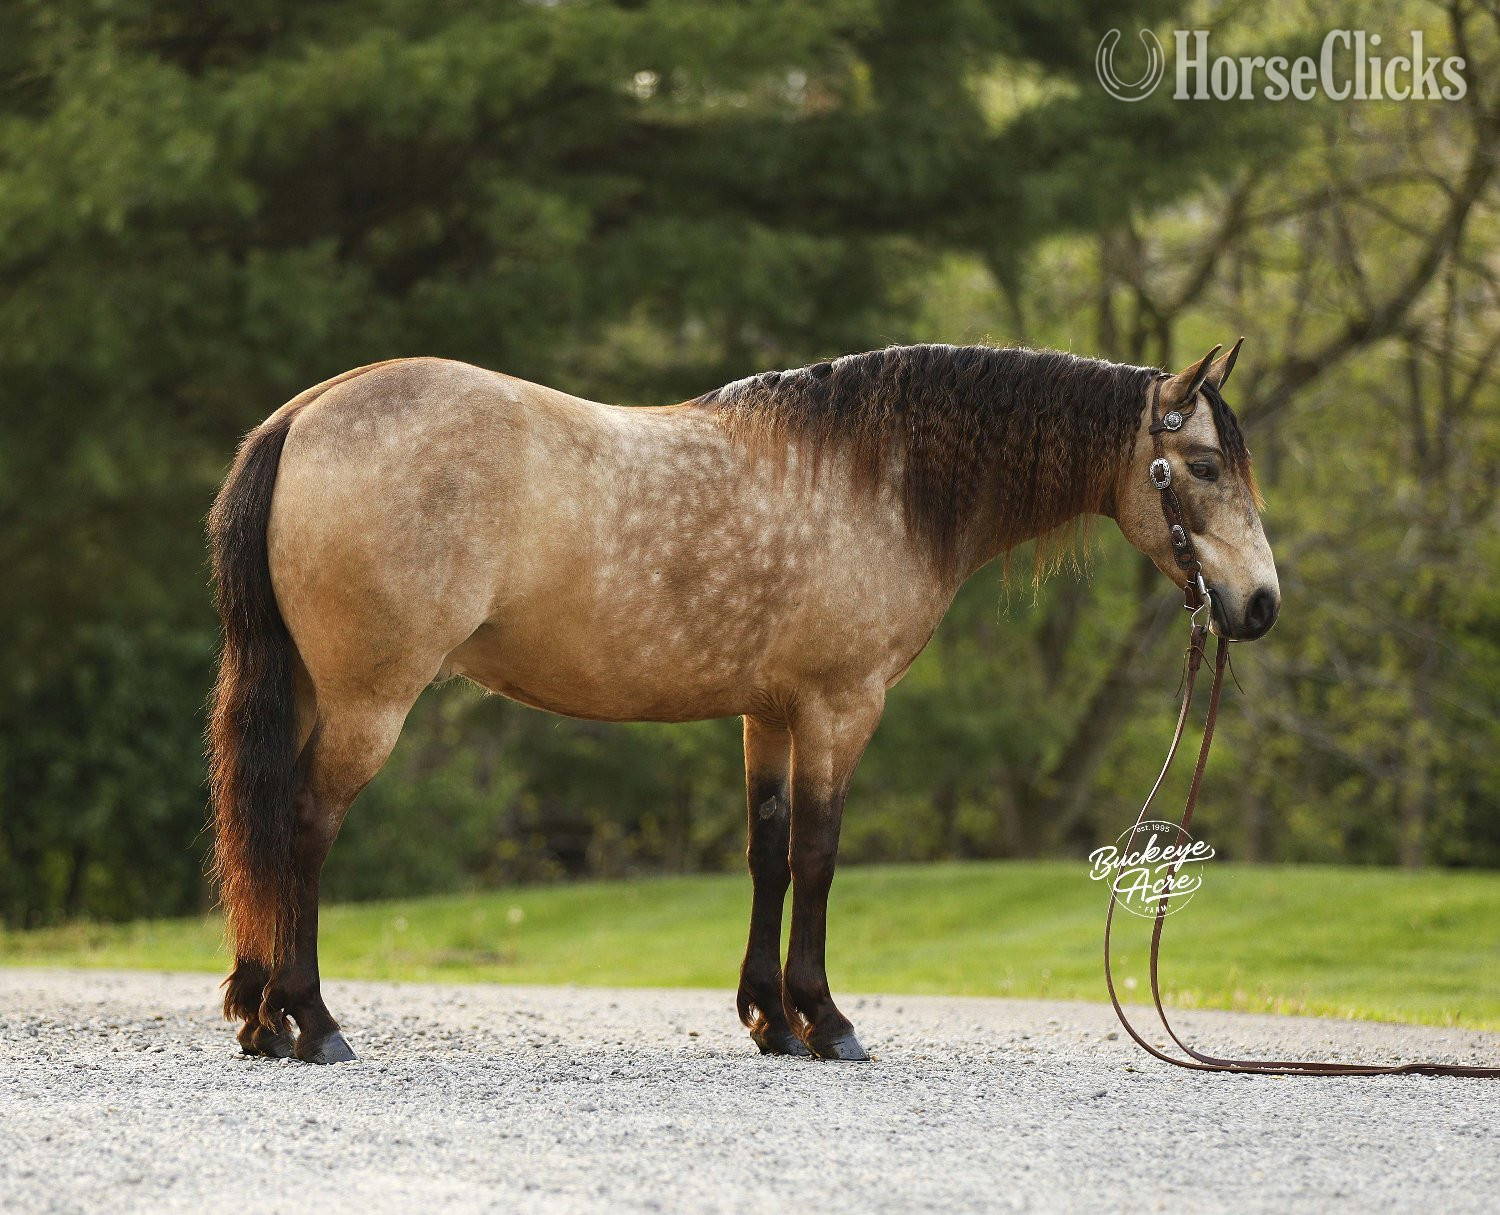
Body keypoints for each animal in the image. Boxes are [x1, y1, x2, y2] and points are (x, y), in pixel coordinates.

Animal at [207, 340, 1278, 1064]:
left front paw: (771, 1016)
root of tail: (308, 412)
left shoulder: (769, 714)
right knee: (300, 828)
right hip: (368, 702)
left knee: (262, 825)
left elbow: (768, 853)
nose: (1261, 605)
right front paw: (827, 1019)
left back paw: (259, 1014)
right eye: (1206, 466)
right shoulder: (840, 709)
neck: (876, 479)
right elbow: (819, 854)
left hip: (312, 692)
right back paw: (312, 1020)